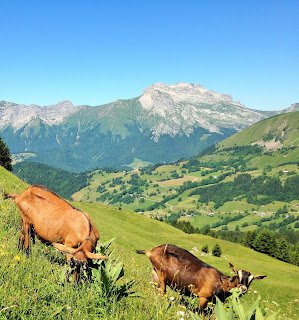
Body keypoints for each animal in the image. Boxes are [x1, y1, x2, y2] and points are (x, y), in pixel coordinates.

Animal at [137, 244, 266, 308]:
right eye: (237, 275)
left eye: (251, 280)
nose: (243, 289)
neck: (221, 282)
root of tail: (151, 251)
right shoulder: (203, 297)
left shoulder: (215, 301)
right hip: (161, 275)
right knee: (162, 293)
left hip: (155, 273)